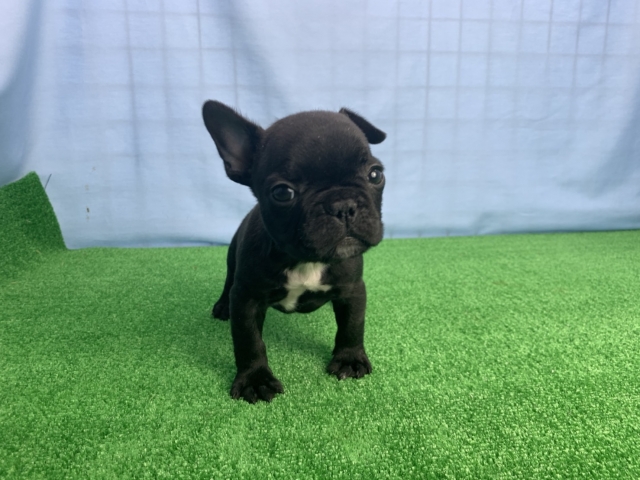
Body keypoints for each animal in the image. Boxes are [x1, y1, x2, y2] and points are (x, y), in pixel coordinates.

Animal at [202, 100, 386, 403]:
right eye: (282, 193)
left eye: (375, 174)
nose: (343, 205)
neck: (306, 260)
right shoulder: (247, 299)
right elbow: (249, 341)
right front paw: (255, 379)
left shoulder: (352, 289)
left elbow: (352, 325)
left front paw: (349, 359)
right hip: (232, 259)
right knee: (229, 281)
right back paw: (221, 306)